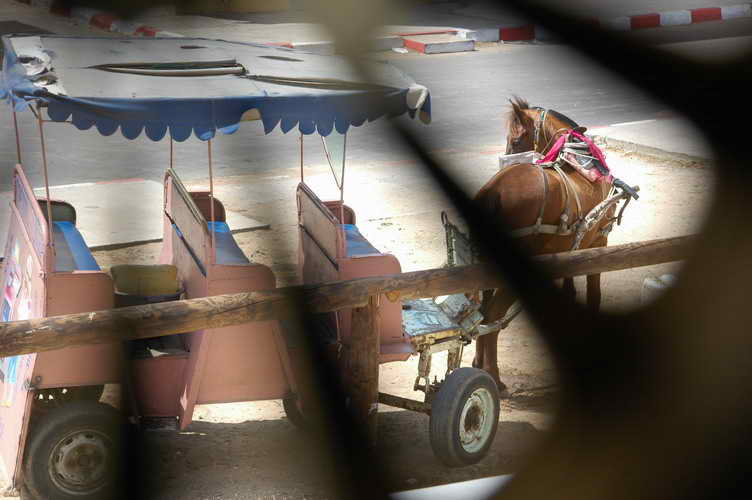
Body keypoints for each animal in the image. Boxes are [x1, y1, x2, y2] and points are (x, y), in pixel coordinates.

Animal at [472, 97, 615, 397]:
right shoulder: (599, 241)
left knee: (483, 315)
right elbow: (594, 294)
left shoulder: (569, 250)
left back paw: (481, 367)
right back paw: (493, 378)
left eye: (515, 140)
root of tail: (495, 189)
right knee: (493, 316)